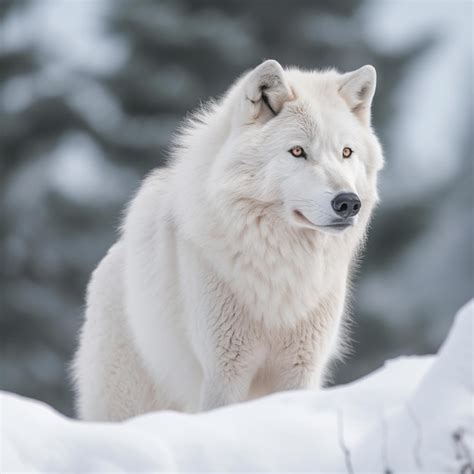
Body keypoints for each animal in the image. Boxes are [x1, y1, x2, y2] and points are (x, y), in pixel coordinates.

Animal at [73, 60, 386, 422]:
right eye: (298, 151)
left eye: (346, 152)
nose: (348, 203)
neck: (281, 268)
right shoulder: (225, 371)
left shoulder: (301, 368)